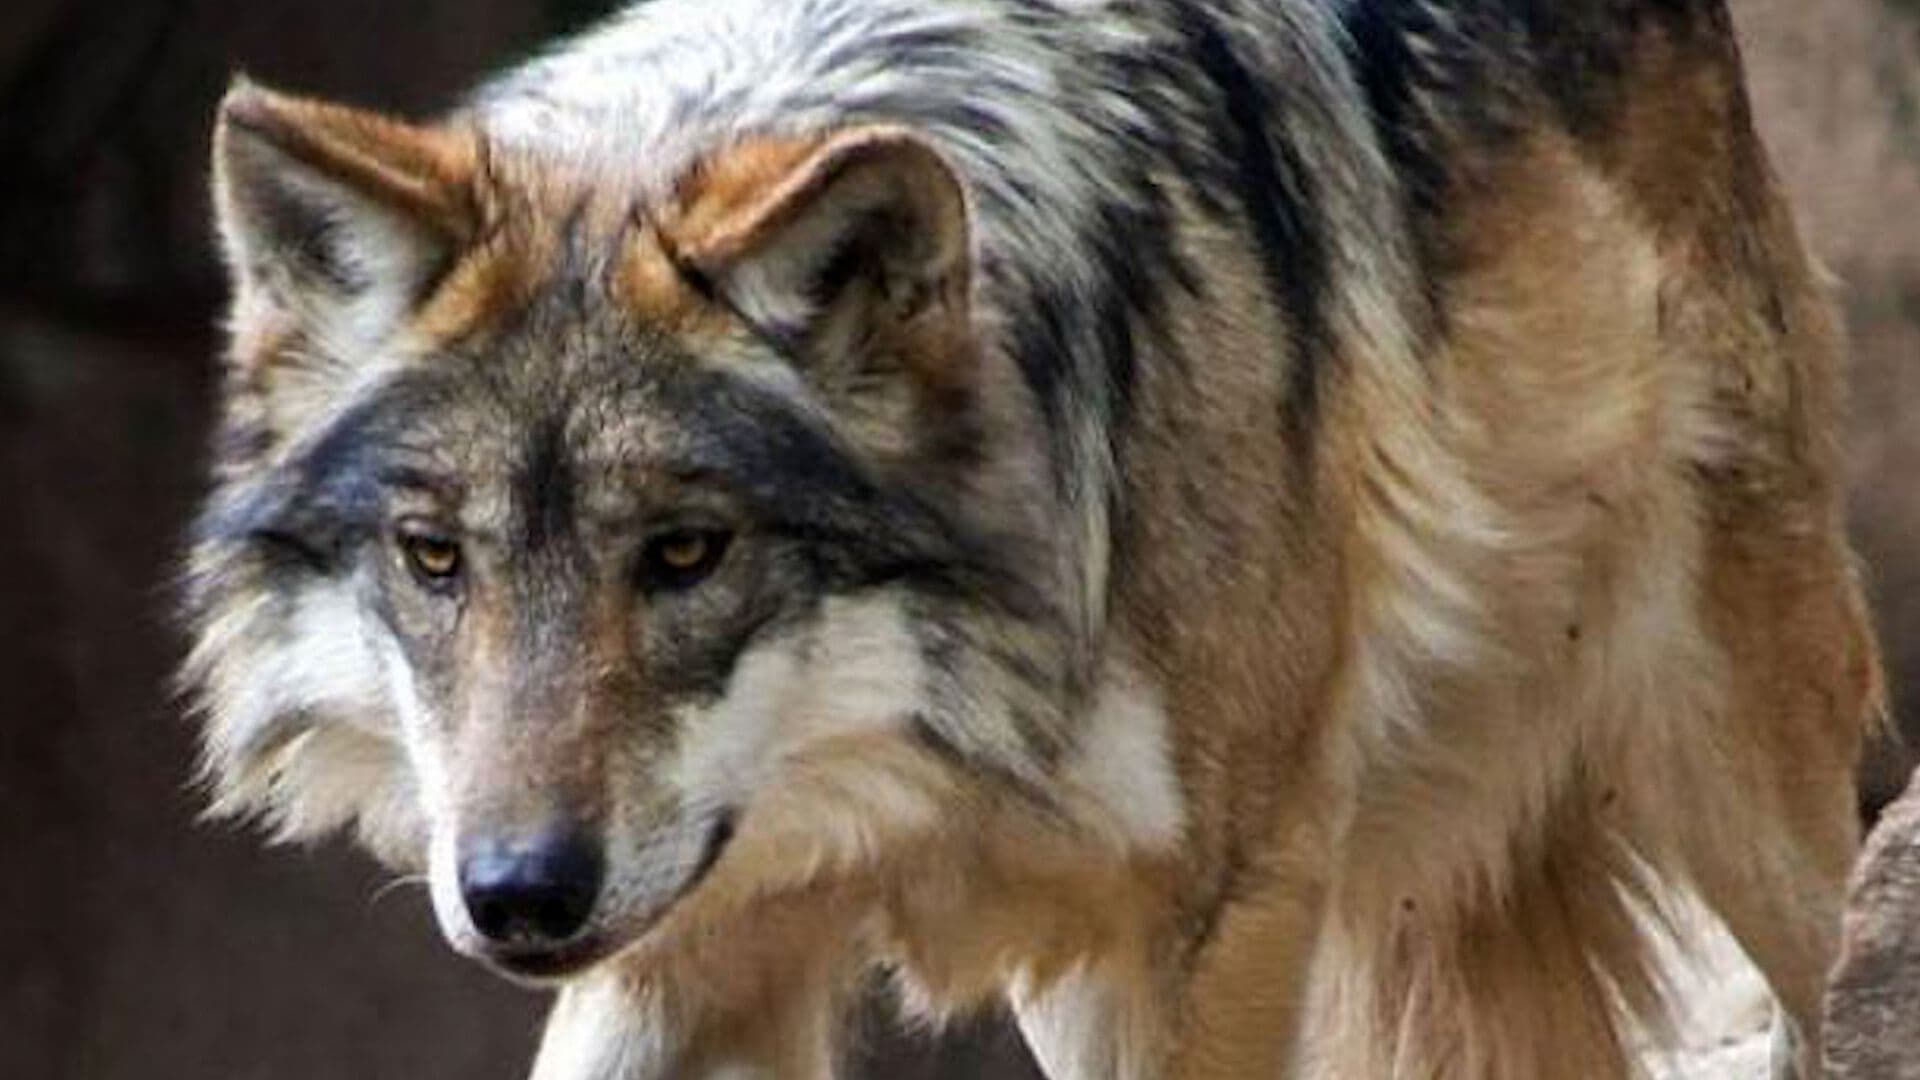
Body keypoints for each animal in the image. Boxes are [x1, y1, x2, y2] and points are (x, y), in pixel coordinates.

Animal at [181, 0, 1883, 1076]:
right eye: (435, 557)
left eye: (684, 552)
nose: (518, 892)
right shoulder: (690, 947)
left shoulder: (1211, 922)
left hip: (1756, 803)